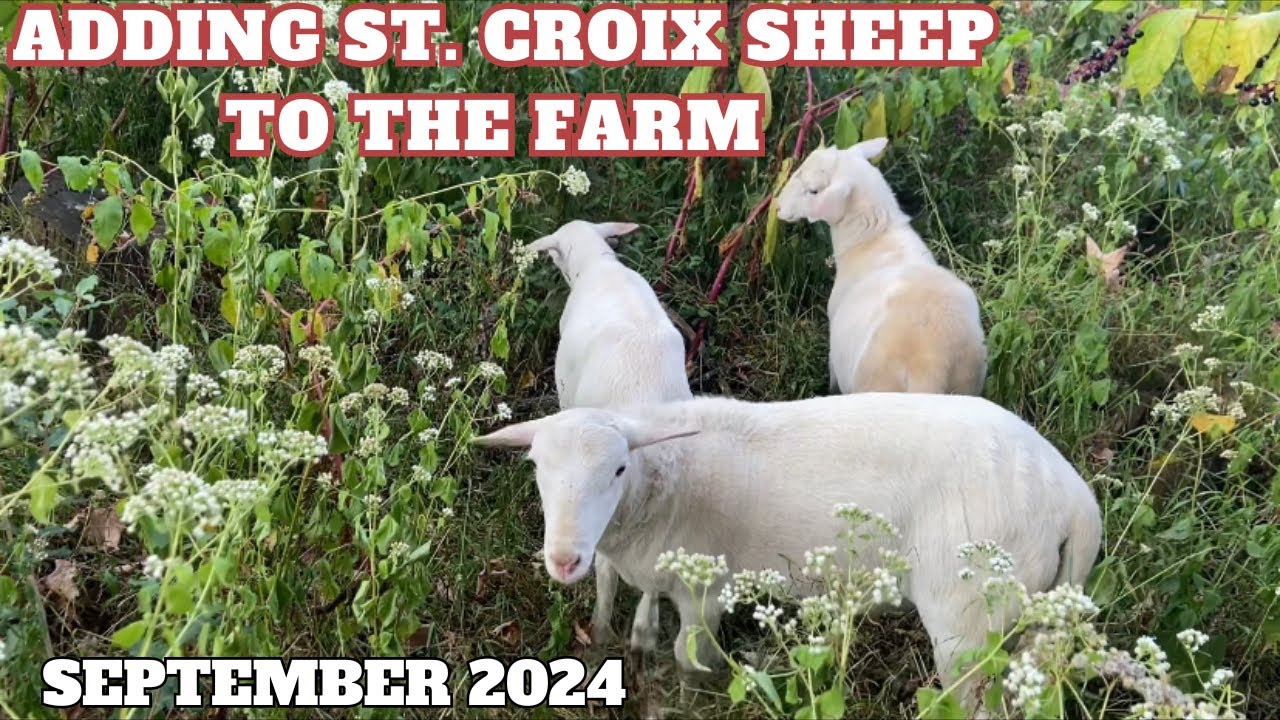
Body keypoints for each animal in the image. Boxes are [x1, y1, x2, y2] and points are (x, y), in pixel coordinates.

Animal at [474, 391, 1102, 710]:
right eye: (536, 466)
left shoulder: (706, 591)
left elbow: (688, 658)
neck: (669, 484)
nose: (563, 560)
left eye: (619, 469)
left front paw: (689, 700)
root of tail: (1076, 501)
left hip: (968, 612)